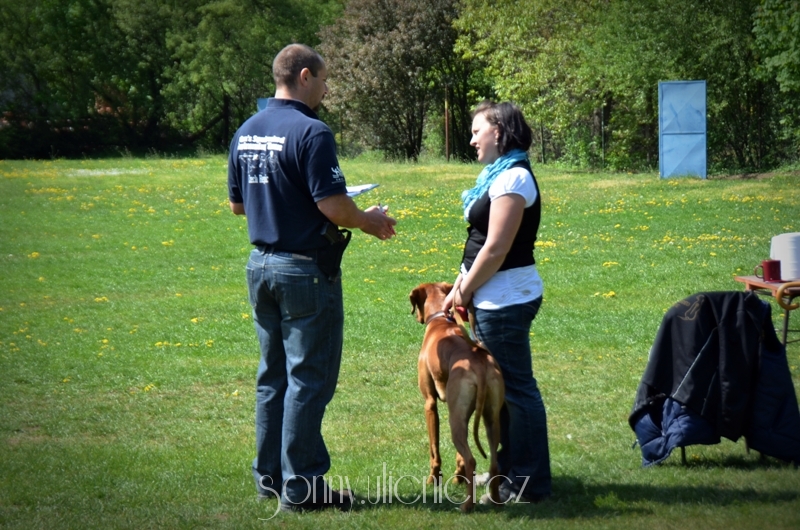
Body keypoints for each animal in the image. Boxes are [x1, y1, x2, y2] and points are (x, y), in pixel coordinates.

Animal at [409, 282, 504, 512]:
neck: (440, 320)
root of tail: (479, 364)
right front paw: (459, 477)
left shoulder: (430, 404)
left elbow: (434, 449)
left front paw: (433, 480)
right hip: (488, 418)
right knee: (493, 462)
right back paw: (495, 500)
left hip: (455, 420)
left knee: (472, 460)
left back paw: (467, 506)